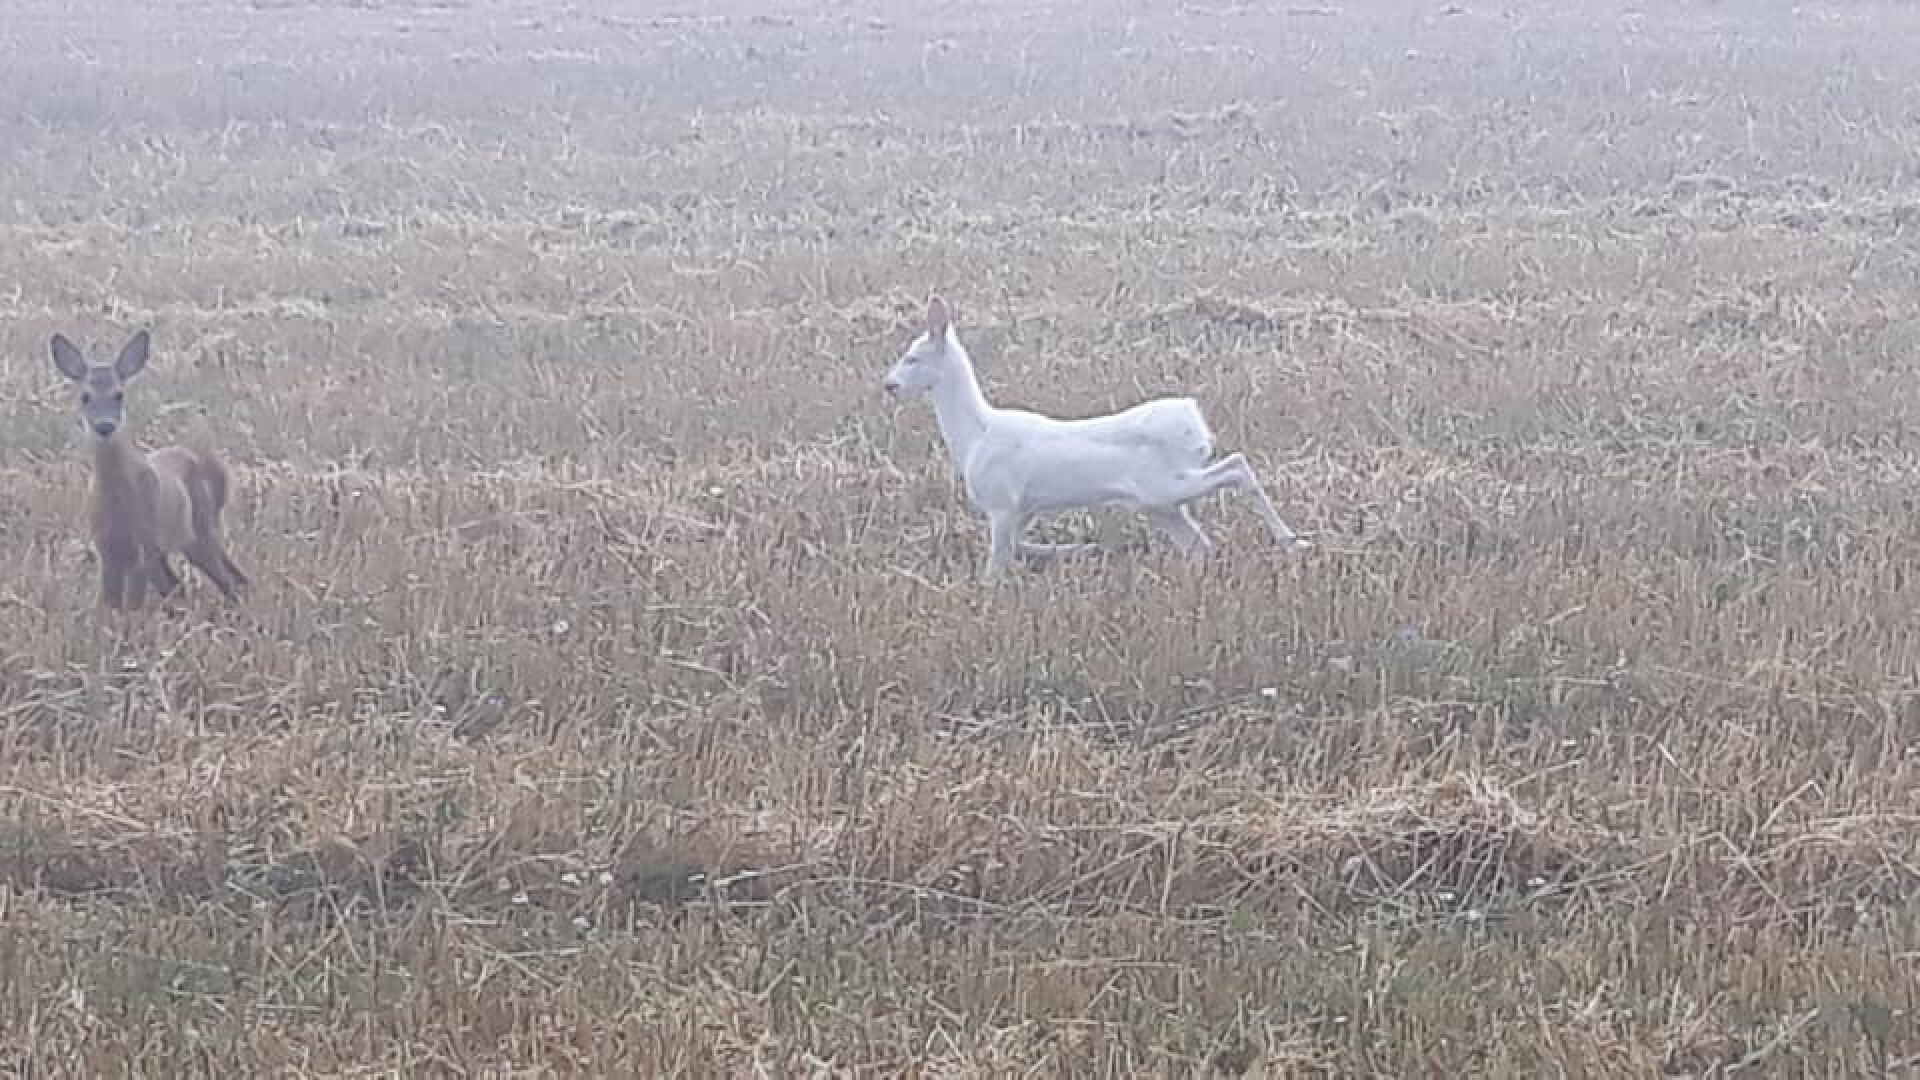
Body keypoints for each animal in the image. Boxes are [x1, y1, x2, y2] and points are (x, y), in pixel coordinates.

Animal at [50, 328, 249, 611]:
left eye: (119, 394)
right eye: (85, 396)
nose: (105, 426)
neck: (118, 501)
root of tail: (212, 468)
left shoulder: (142, 545)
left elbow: (133, 606)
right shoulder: (107, 549)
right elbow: (109, 606)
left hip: (200, 530)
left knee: (230, 580)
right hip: (168, 548)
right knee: (181, 586)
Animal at [879, 294, 1305, 580]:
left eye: (912, 357)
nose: (889, 385)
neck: (974, 435)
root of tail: (1194, 426)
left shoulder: (1001, 504)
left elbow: (996, 566)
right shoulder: (1022, 509)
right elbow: (1020, 548)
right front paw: (1075, 549)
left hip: (1162, 486)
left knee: (1237, 467)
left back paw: (1291, 539)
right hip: (1159, 504)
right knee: (1200, 543)